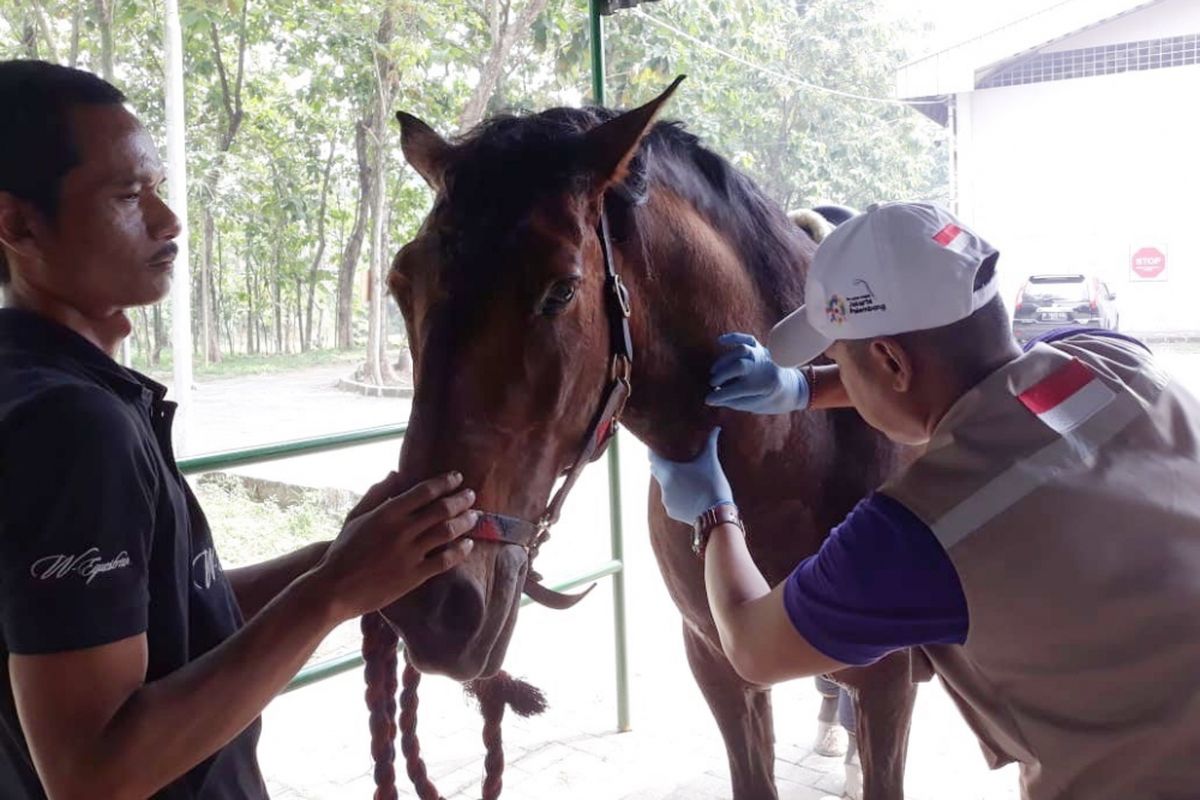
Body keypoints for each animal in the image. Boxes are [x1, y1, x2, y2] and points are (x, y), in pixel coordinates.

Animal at [364, 82, 916, 800]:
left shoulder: (888, 682)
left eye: (561, 290)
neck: (790, 459)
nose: (429, 608)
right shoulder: (720, 665)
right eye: (401, 284)